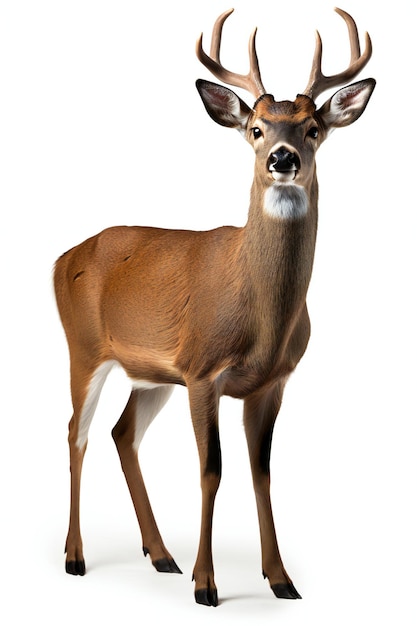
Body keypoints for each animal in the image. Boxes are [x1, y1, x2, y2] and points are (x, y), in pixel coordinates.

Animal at [53, 6, 376, 604]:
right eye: (256, 129)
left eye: (313, 129)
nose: (281, 158)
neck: (264, 319)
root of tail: (63, 258)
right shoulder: (204, 371)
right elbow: (212, 470)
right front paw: (207, 585)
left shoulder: (271, 381)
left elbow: (261, 471)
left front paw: (281, 579)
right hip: (83, 349)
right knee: (76, 433)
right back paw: (76, 556)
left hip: (152, 373)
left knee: (121, 434)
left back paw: (161, 555)